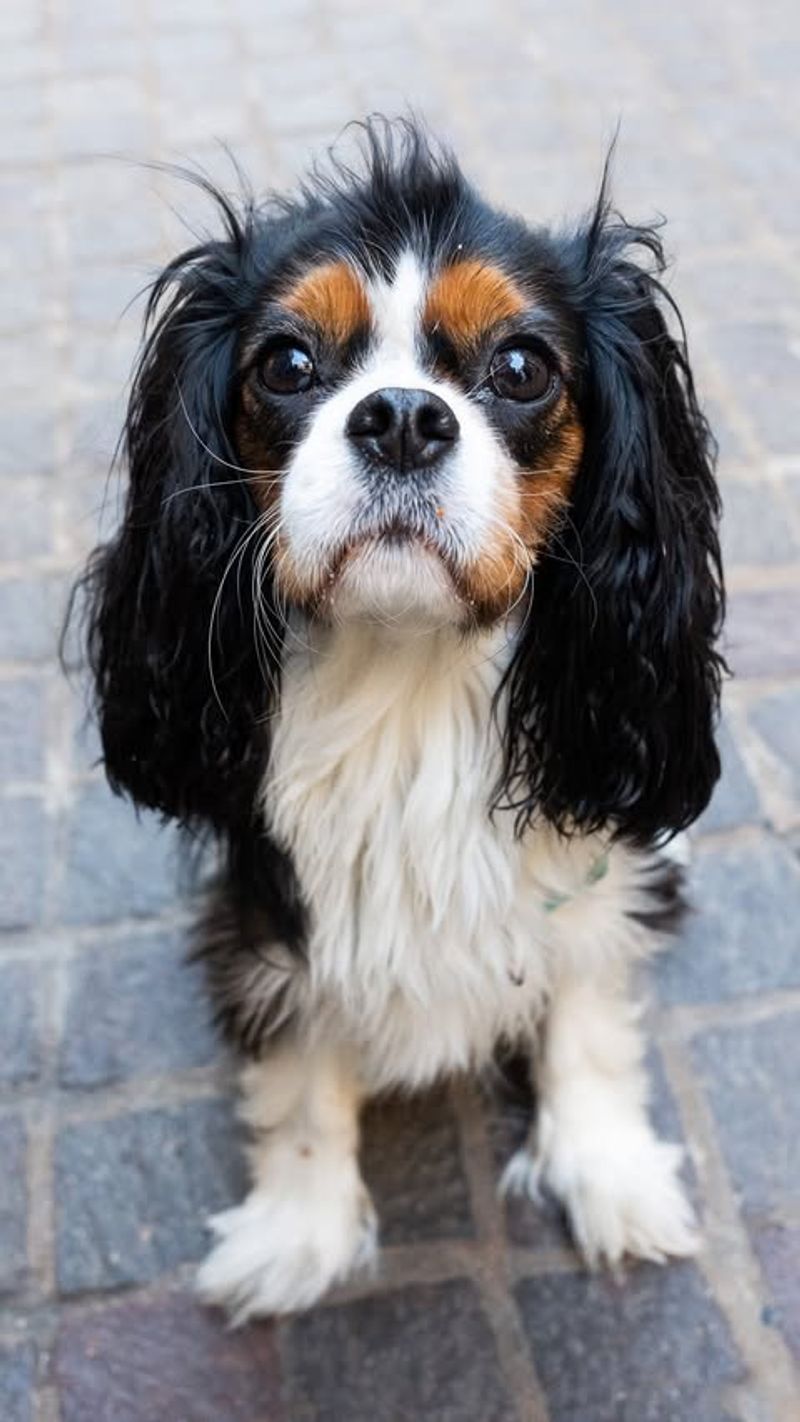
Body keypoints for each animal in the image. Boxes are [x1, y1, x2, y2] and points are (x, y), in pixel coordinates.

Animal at [81, 122, 727, 1319]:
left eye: (520, 367)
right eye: (287, 365)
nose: (399, 419)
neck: (407, 674)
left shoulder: (592, 858)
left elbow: (584, 1001)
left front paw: (607, 1170)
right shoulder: (271, 914)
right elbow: (302, 1071)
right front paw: (297, 1229)